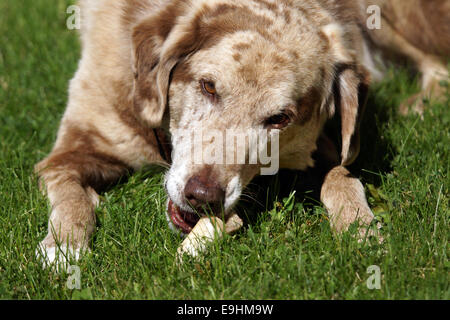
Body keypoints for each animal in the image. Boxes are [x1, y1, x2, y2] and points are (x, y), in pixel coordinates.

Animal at [36, 0, 450, 264]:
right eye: (208, 86)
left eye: (280, 118)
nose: (203, 197)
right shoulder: (71, 151)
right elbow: (72, 194)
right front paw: (64, 247)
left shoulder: (323, 148)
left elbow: (343, 176)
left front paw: (360, 227)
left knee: (435, 62)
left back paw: (420, 104)